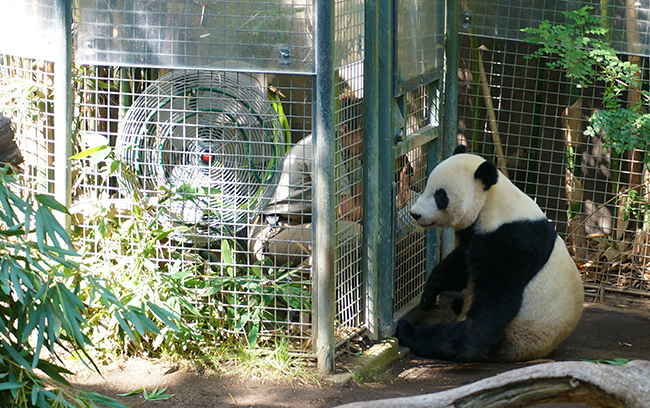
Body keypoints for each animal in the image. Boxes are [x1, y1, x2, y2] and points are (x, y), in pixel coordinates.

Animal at [394, 145, 584, 362]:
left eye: (440, 196)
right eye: (426, 187)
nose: (415, 214)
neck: (491, 202)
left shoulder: (511, 241)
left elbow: (495, 300)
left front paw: (458, 344)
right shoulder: (476, 234)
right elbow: (460, 265)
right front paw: (429, 294)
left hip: (521, 333)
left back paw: (412, 332)